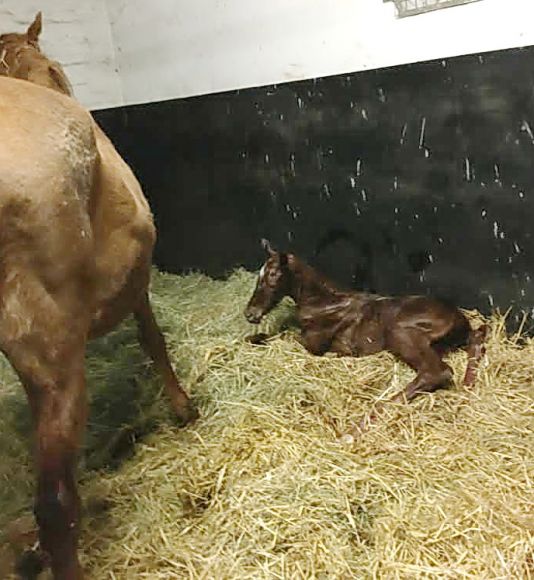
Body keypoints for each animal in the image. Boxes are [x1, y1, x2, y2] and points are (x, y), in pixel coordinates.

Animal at [245, 241, 488, 440]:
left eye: (273, 274)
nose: (250, 314)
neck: (322, 302)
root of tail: (457, 318)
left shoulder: (312, 344)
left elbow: (280, 337)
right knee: (477, 339)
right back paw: (467, 390)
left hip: (401, 332)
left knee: (436, 372)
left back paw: (356, 429)